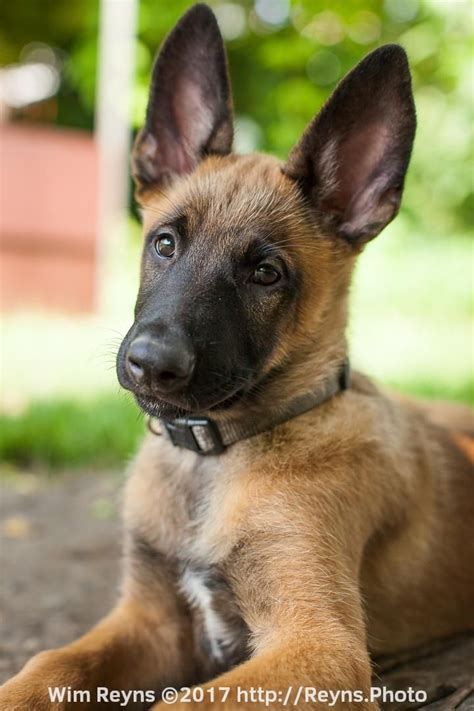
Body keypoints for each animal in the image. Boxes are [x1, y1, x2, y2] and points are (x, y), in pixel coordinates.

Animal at [1, 2, 472, 708]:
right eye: (164, 244)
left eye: (266, 274)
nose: (151, 362)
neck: (212, 458)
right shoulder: (150, 619)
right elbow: (48, 666)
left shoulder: (319, 646)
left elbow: (179, 703)